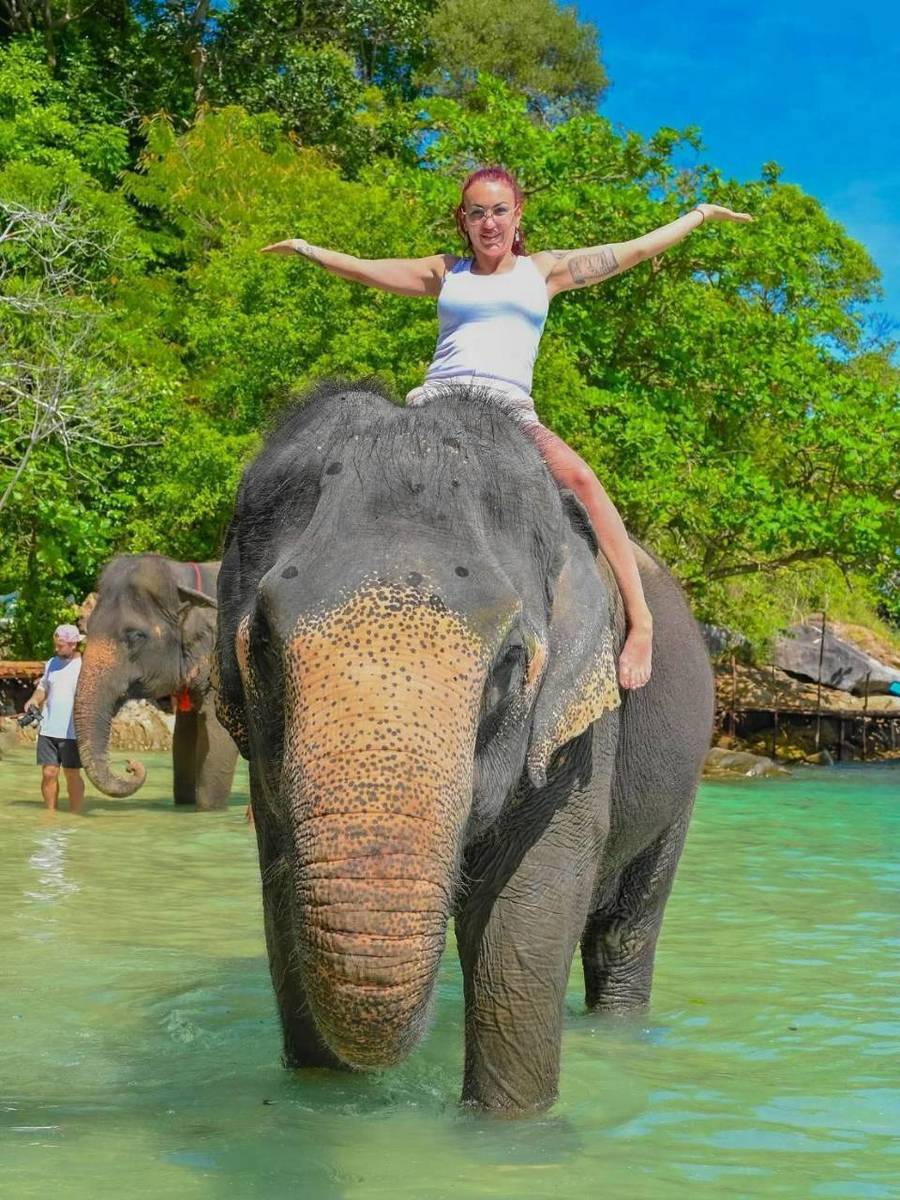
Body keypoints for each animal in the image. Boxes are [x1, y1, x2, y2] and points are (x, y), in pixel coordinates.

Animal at [75, 555, 239, 809]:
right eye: (87, 628)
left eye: (135, 636)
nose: (131, 765)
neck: (183, 575)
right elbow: (183, 739)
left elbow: (218, 739)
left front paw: (208, 811)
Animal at [214, 381, 714, 1112]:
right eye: (263, 647)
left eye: (509, 661)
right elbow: (282, 903)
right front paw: (323, 1105)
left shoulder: (581, 736)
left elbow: (525, 913)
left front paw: (510, 1125)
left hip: (682, 776)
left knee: (626, 929)